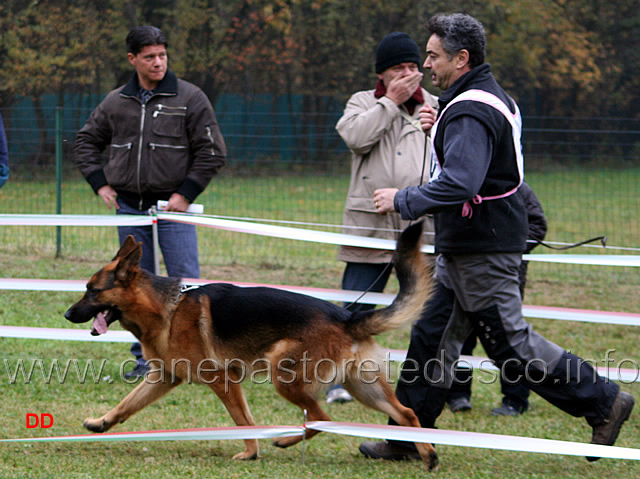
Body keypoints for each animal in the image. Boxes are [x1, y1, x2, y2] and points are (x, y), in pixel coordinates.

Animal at [65, 223, 438, 470]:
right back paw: (429, 455)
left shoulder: (223, 381)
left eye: (92, 291)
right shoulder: (164, 378)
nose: (67, 314)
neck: (164, 307)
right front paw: (100, 423)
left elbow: (242, 420)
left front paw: (250, 453)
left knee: (322, 417)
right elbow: (126, 405)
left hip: (285, 376)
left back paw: (285, 439)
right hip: (362, 387)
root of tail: (347, 317)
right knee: (406, 413)